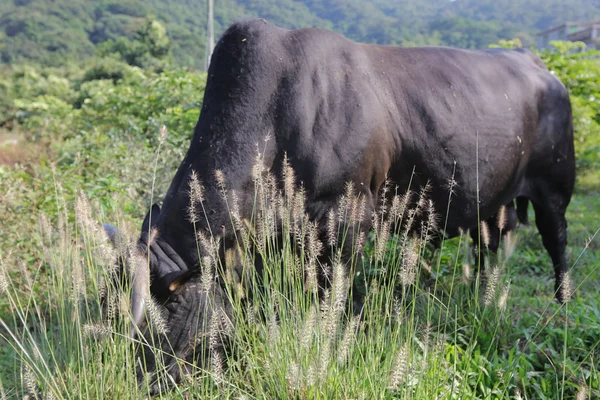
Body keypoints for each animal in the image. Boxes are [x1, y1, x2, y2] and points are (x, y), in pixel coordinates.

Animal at [105, 18, 576, 388]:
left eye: (167, 311)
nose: (141, 381)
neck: (277, 107)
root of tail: (538, 64)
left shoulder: (346, 216)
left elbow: (331, 293)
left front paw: (328, 341)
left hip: (555, 187)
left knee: (557, 242)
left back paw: (562, 305)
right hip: (494, 205)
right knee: (488, 248)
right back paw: (479, 297)